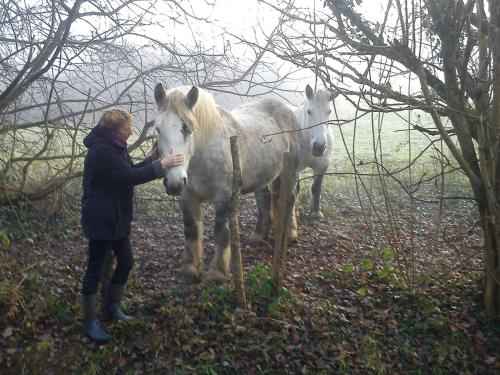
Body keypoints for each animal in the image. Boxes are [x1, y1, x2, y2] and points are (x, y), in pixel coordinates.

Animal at [153, 83, 300, 282]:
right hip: (262, 177)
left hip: (290, 173)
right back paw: (258, 236)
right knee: (264, 200)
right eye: (158, 129)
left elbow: (221, 233)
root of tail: (286, 109)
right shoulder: (186, 198)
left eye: (187, 128)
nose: (174, 182)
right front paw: (190, 269)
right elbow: (191, 231)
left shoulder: (224, 197)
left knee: (290, 199)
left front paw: (217, 273)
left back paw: (291, 233)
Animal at [294, 84, 338, 220]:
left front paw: (316, 213)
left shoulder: (323, 165)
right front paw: (294, 212)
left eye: (329, 111)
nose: (319, 146)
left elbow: (316, 188)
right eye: (309, 111)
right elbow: (296, 188)